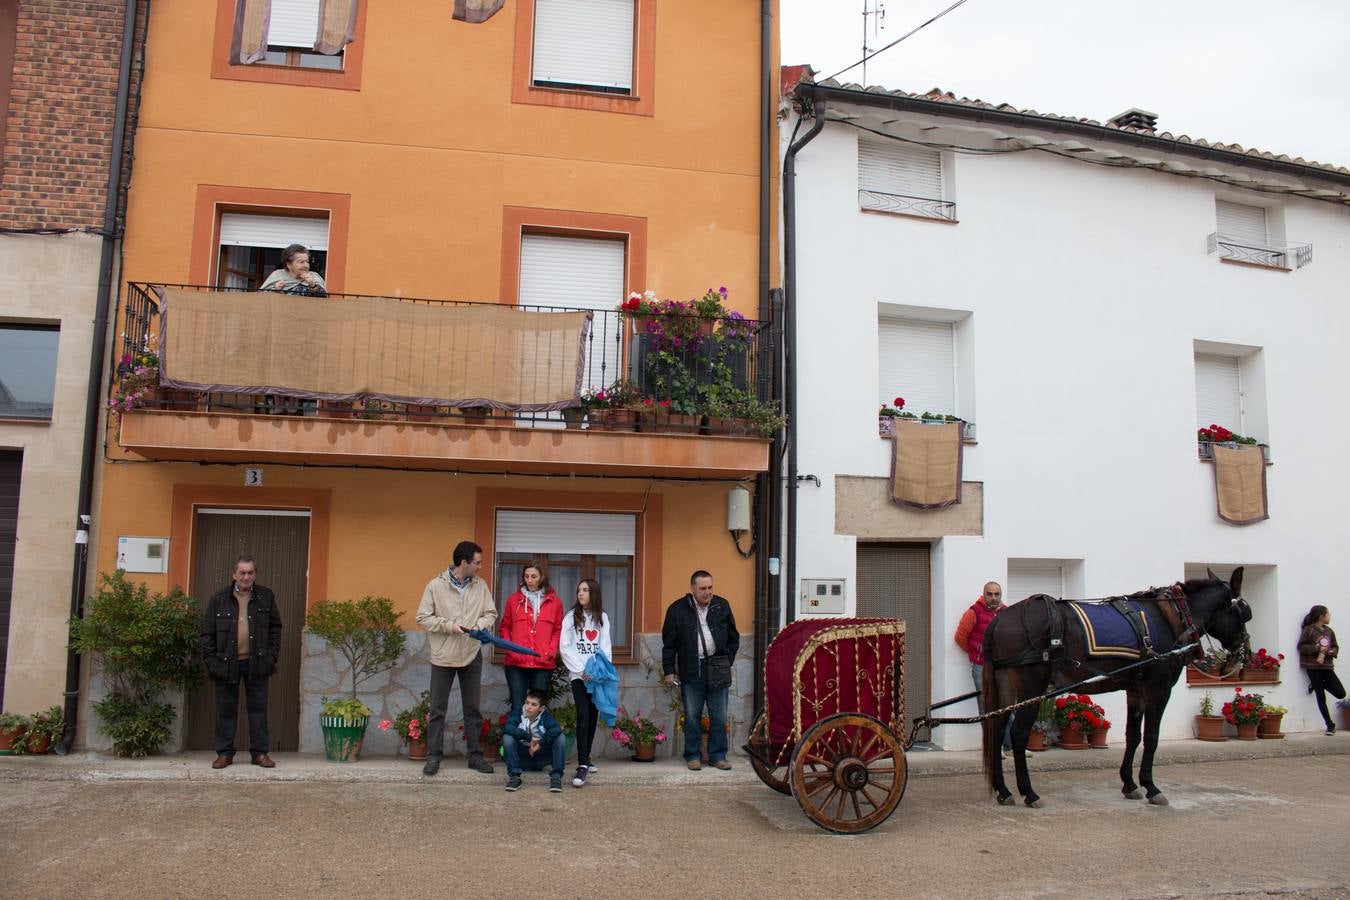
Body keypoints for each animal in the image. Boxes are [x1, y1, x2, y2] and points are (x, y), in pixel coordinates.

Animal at [982, 566, 1252, 804]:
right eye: (1244, 613)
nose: (1243, 652)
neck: (1172, 616)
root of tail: (1000, 619)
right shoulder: (1159, 690)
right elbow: (1151, 737)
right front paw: (1151, 787)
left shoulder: (1135, 691)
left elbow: (1132, 736)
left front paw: (1130, 784)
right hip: (1032, 687)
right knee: (1018, 734)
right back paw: (1028, 792)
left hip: (1006, 686)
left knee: (996, 728)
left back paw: (1003, 790)